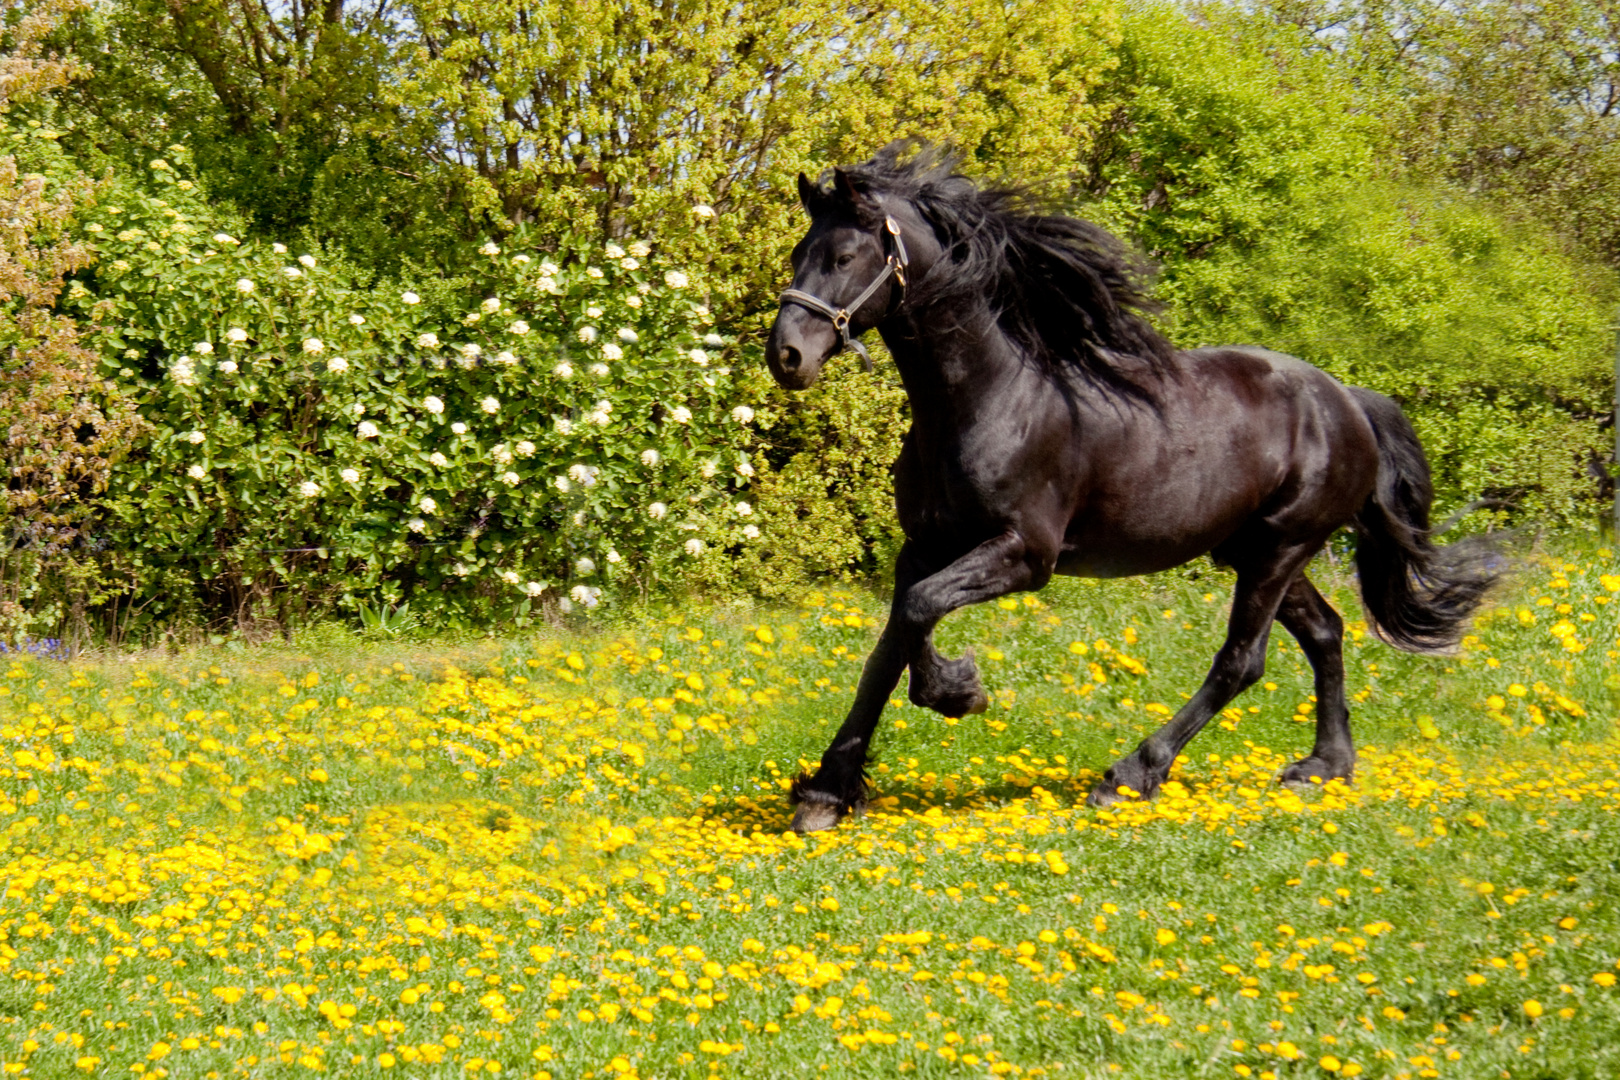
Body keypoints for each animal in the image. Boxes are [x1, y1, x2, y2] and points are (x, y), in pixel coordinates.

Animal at [764, 143, 1496, 835]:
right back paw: (1324, 766)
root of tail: (1348, 401)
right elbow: (889, 650)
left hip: (1280, 548)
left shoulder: (1025, 554)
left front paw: (960, 691)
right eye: (800, 252)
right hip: (1256, 552)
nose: (786, 357)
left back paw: (1131, 773)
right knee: (1326, 632)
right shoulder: (923, 547)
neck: (987, 398)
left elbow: (919, 614)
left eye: (844, 254)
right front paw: (827, 793)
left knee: (1242, 660)